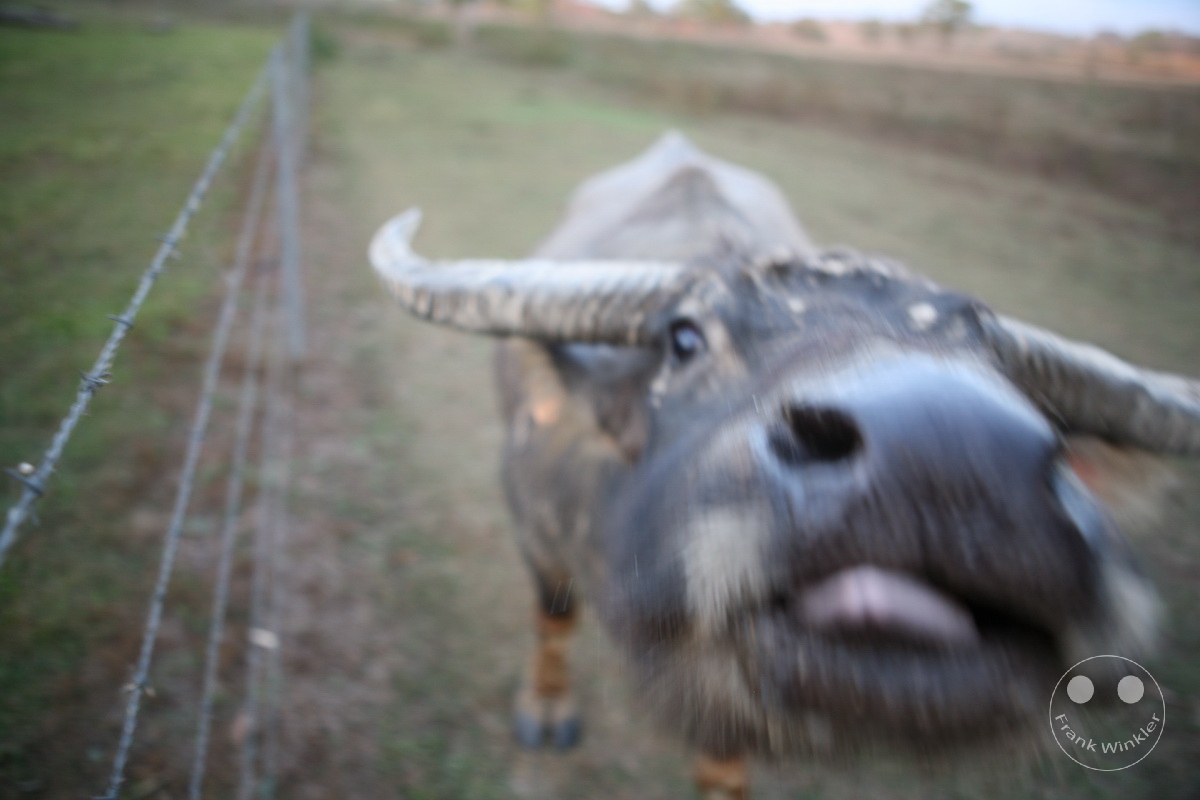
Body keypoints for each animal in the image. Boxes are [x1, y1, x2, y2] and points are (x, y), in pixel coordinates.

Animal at [368, 132, 1197, 798]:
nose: (952, 454)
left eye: (1015, 380)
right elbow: (553, 618)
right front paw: (545, 709)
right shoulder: (535, 529)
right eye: (684, 338)